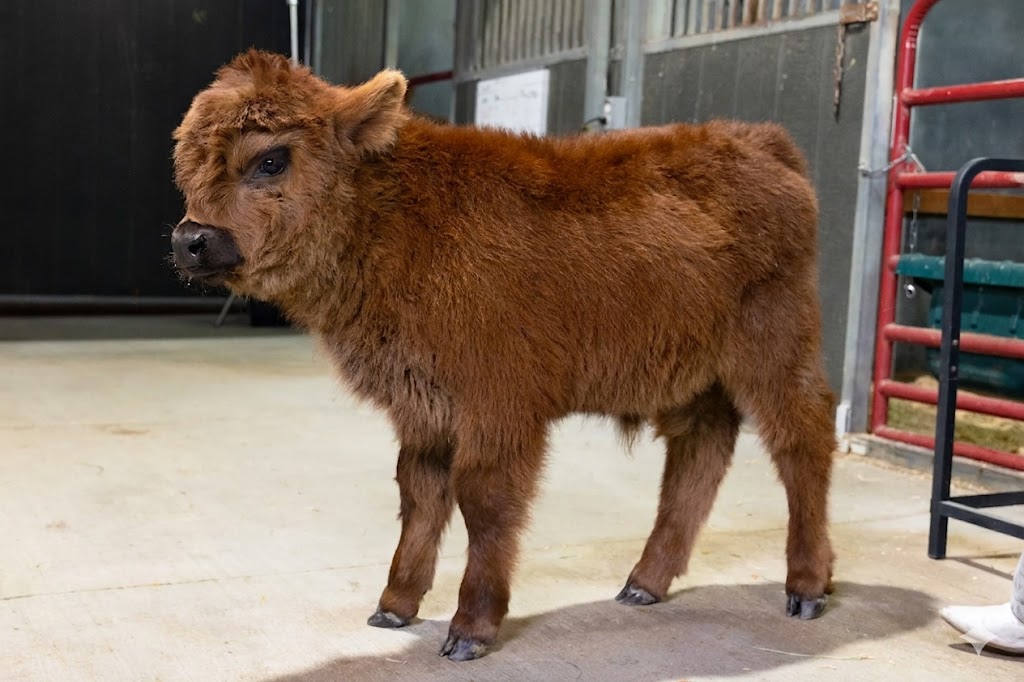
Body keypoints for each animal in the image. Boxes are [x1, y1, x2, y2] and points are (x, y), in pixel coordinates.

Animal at [170, 50, 836, 661]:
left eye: (271, 159)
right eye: (187, 165)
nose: (190, 240)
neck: (397, 212)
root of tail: (762, 142)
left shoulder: (497, 411)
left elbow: (485, 504)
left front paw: (471, 628)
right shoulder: (425, 409)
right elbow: (420, 495)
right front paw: (394, 606)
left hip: (776, 352)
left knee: (801, 443)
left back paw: (807, 586)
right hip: (696, 378)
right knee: (698, 455)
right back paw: (644, 584)